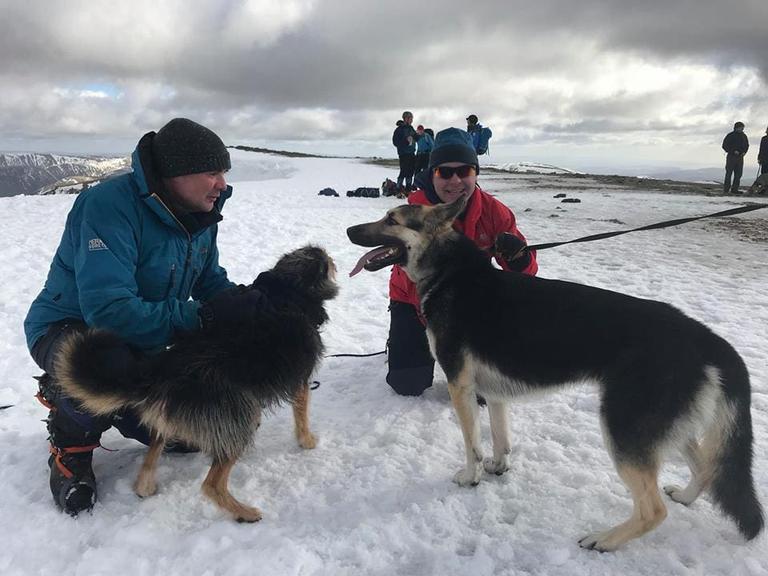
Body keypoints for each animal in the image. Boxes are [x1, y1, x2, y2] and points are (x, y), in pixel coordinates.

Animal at [55, 244, 338, 520]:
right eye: (326, 261)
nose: (326, 252)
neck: (285, 291)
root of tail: (164, 370)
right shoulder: (300, 381)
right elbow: (302, 414)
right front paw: (307, 441)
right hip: (241, 416)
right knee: (211, 485)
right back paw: (243, 512)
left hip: (175, 418)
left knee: (152, 455)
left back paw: (146, 486)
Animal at [346, 200, 760, 552]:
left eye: (391, 219)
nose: (349, 230)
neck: (450, 273)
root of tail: (704, 337)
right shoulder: (492, 393)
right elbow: (500, 438)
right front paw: (499, 467)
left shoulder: (459, 386)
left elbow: (472, 444)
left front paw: (471, 476)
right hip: (662, 427)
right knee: (707, 467)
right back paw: (686, 497)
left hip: (623, 429)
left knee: (653, 510)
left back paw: (605, 539)